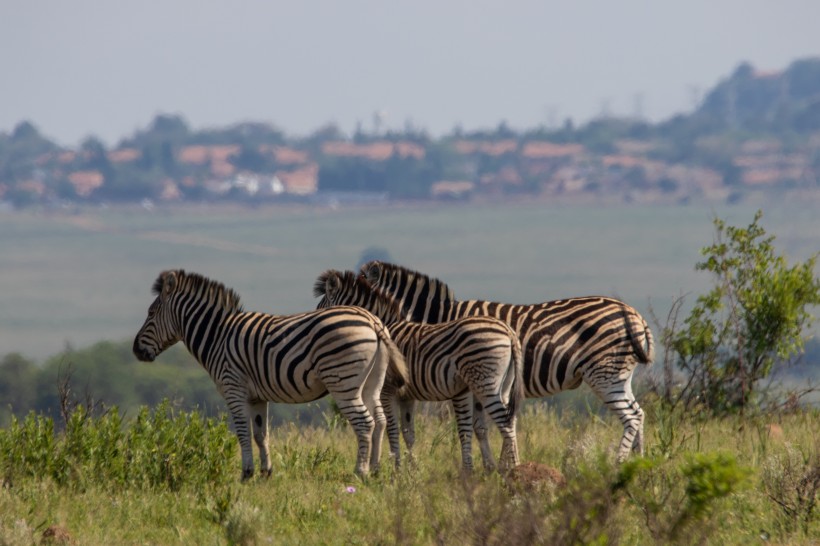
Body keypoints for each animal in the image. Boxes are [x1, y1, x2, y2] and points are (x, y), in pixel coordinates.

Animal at [132, 270, 410, 478]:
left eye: (150, 313)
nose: (136, 350)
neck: (218, 336)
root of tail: (373, 321)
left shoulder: (234, 389)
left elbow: (243, 432)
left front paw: (246, 473)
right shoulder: (257, 397)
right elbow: (260, 434)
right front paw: (266, 472)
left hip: (342, 382)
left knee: (365, 422)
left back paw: (360, 472)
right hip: (372, 382)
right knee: (381, 420)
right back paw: (375, 469)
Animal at [310, 270, 524, 470]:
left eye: (321, 309)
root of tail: (509, 331)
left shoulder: (388, 390)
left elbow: (392, 428)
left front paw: (396, 468)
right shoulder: (407, 396)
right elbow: (409, 433)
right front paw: (411, 468)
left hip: (485, 382)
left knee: (505, 423)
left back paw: (512, 469)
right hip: (503, 386)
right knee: (511, 420)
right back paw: (508, 467)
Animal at [362, 260, 656, 460]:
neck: (440, 319)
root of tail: (633, 314)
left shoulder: (473, 381)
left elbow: (479, 426)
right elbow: (486, 427)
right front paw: (497, 465)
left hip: (604, 374)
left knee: (631, 416)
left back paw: (619, 462)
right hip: (619, 376)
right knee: (639, 413)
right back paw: (639, 462)